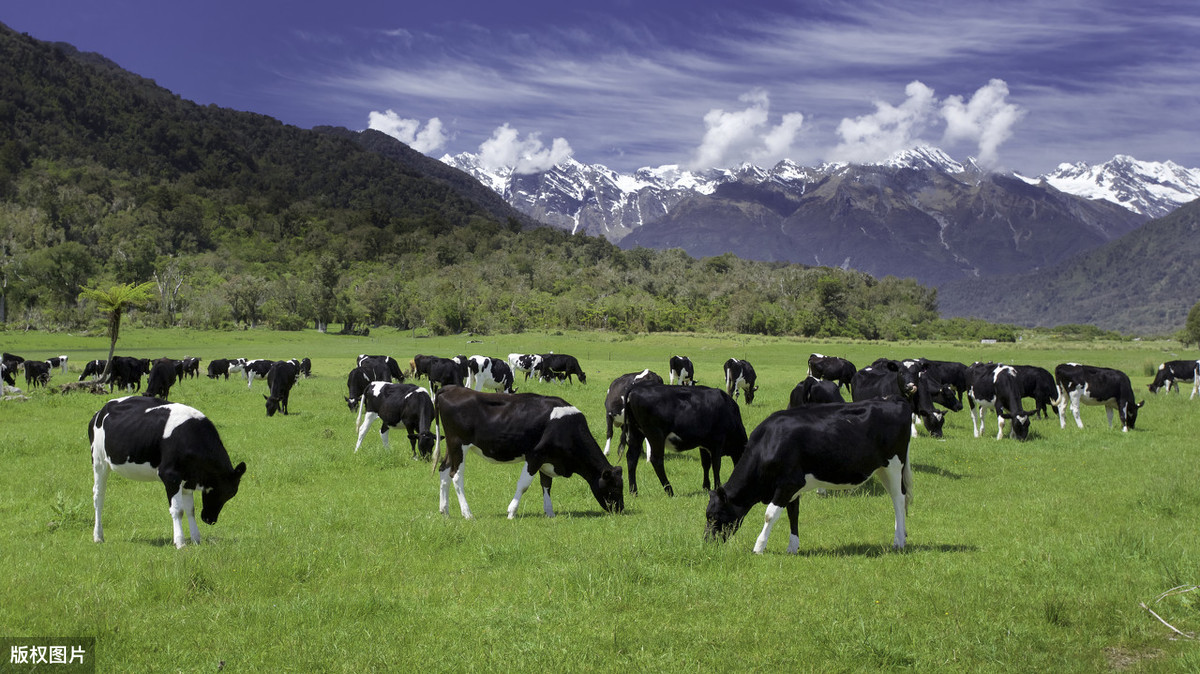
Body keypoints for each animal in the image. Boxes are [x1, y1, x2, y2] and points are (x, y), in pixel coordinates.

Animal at [90, 395, 248, 549]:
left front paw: (196, 540)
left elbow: (191, 510)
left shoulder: (188, 479)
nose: (210, 519)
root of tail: (100, 411)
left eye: (230, 494)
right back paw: (98, 536)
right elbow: (178, 510)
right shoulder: (170, 476)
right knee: (98, 496)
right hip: (99, 461)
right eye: (223, 492)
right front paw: (180, 542)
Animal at [432, 383, 624, 520]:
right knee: (456, 476)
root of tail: (450, 388)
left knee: (443, 471)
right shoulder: (535, 455)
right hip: (459, 445)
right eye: (614, 487)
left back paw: (444, 510)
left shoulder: (547, 458)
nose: (620, 510)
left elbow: (546, 484)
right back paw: (467, 513)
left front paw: (550, 512)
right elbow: (523, 485)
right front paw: (511, 512)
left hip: (451, 446)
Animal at [700, 398, 907, 551]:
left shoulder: (788, 484)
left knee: (899, 499)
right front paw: (792, 547)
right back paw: (902, 535)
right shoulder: (792, 488)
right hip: (882, 469)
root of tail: (895, 402)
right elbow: (793, 513)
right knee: (896, 498)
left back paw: (898, 542)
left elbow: (770, 515)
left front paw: (759, 547)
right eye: (708, 515)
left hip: (895, 465)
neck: (768, 444)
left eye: (713, 515)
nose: (707, 542)